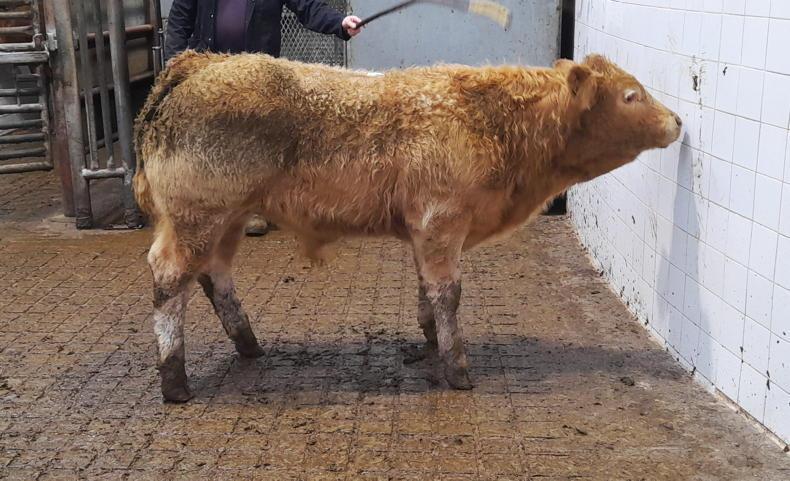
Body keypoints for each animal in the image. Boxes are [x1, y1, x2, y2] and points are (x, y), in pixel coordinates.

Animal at [134, 51, 682, 402]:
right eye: (631, 95)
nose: (677, 120)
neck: (493, 123)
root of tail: (202, 61)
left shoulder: (427, 230)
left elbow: (428, 290)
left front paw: (428, 342)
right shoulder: (442, 221)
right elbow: (448, 293)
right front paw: (456, 368)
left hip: (225, 219)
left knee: (215, 276)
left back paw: (248, 345)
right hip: (197, 216)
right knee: (169, 278)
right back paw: (174, 381)